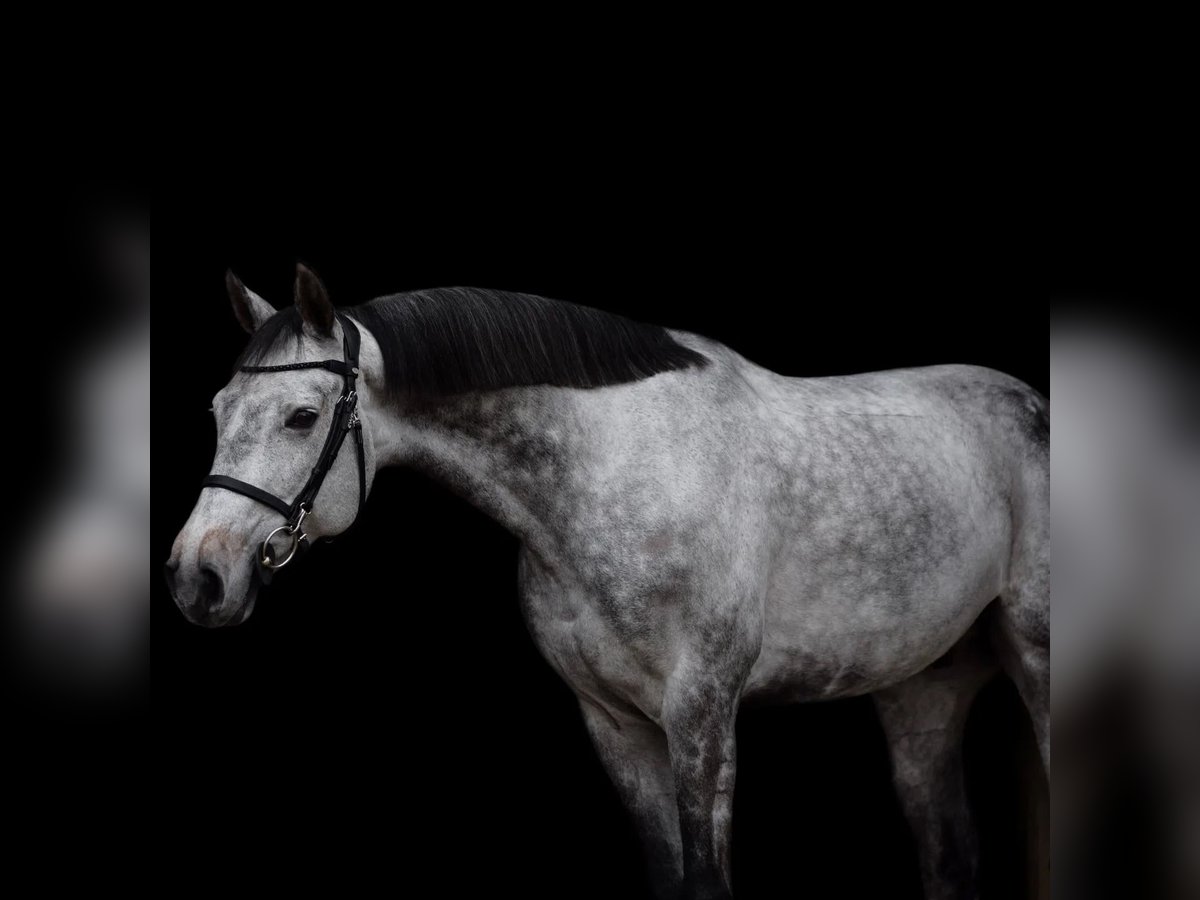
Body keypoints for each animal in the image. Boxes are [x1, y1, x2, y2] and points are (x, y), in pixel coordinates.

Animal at [164, 266, 1046, 900]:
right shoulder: (613, 724)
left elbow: (705, 881)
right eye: (217, 408)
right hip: (922, 689)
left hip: (1032, 661)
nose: (196, 576)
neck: (618, 469)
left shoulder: (701, 716)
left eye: (302, 416)